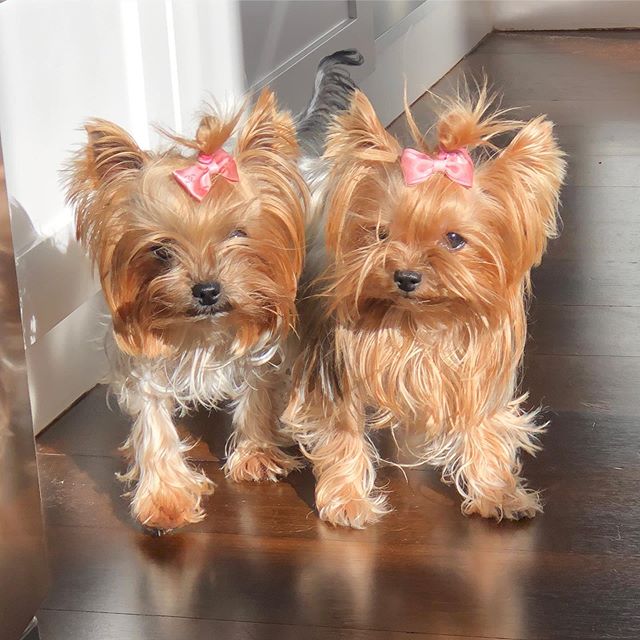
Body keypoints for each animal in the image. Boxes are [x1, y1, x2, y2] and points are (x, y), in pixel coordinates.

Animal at [66, 90, 306, 528]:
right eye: (161, 250)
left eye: (237, 234)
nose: (207, 290)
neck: (202, 331)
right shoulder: (142, 360)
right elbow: (153, 420)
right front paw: (164, 499)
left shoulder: (259, 345)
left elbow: (258, 391)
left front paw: (257, 455)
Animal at [284, 82, 564, 528]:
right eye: (381, 234)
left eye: (454, 239)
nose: (406, 276)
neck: (422, 321)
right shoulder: (334, 364)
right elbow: (341, 429)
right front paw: (348, 501)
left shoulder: (478, 367)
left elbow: (483, 425)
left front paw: (498, 494)